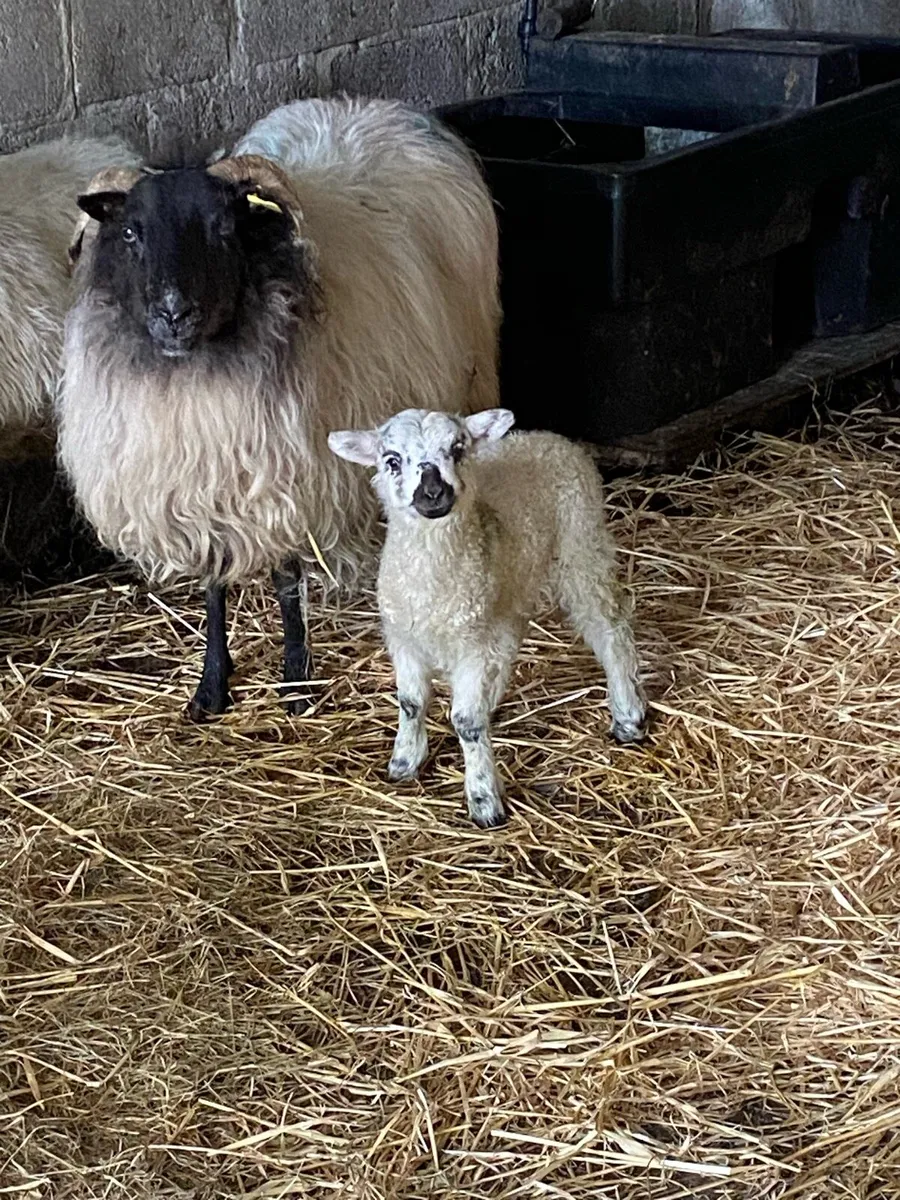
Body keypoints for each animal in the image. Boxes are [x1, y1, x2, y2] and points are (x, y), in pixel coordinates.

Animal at [57, 98, 500, 721]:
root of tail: (369, 106)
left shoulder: (291, 477)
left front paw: (296, 681)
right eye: (129, 232)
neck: (196, 378)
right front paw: (212, 687)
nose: (174, 313)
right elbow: (213, 589)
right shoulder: (198, 487)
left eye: (224, 228)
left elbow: (289, 580)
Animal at [328, 407, 647, 828]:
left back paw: (628, 713)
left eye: (457, 449)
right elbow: (411, 702)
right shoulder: (404, 638)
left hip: (582, 545)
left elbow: (465, 722)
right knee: (512, 640)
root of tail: (547, 436)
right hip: (507, 591)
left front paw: (482, 799)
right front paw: (405, 761)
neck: (432, 587)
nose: (433, 492)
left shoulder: (473, 646)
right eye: (392, 460)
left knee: (609, 627)